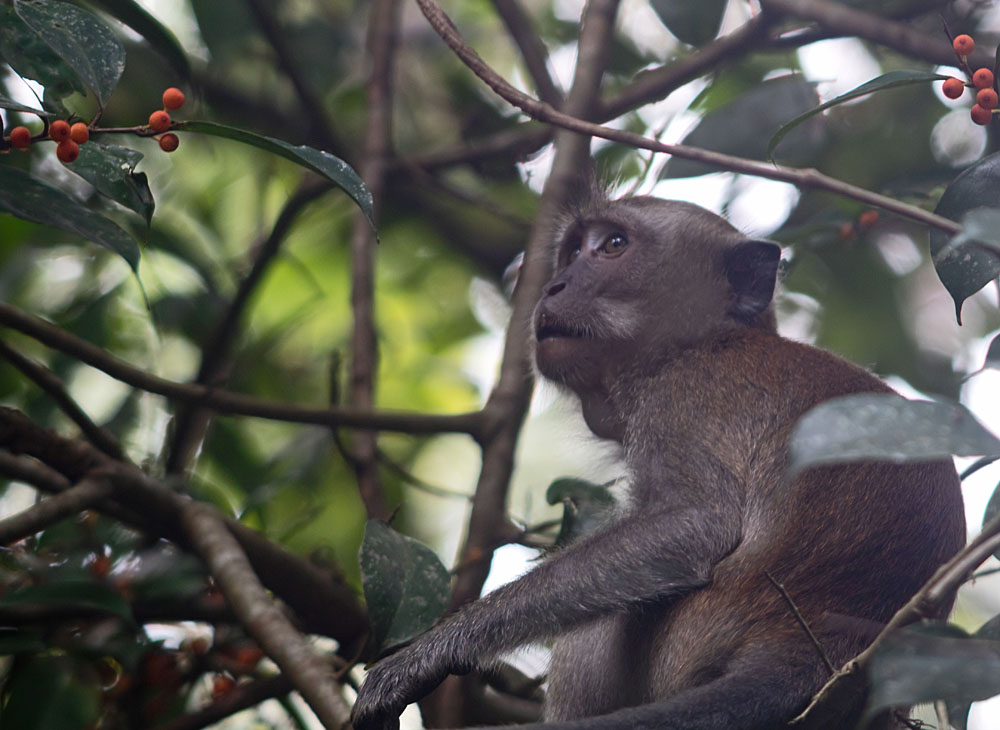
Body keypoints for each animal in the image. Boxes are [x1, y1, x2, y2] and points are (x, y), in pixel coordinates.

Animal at [350, 196, 966, 730]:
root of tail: (824, 640)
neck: (704, 341)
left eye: (613, 245)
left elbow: (693, 525)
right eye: (572, 251)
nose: (553, 285)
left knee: (601, 625)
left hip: (692, 636)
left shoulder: (680, 400)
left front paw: (432, 651)